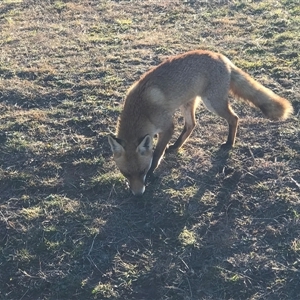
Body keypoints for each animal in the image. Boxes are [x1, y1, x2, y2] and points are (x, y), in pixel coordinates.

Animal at [108, 49, 292, 195]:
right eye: (126, 174)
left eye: (142, 171)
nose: (138, 194)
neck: (141, 110)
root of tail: (221, 56)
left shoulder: (167, 126)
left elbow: (157, 153)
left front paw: (153, 172)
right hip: (187, 103)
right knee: (192, 125)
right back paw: (176, 146)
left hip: (212, 103)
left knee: (234, 118)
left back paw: (229, 143)